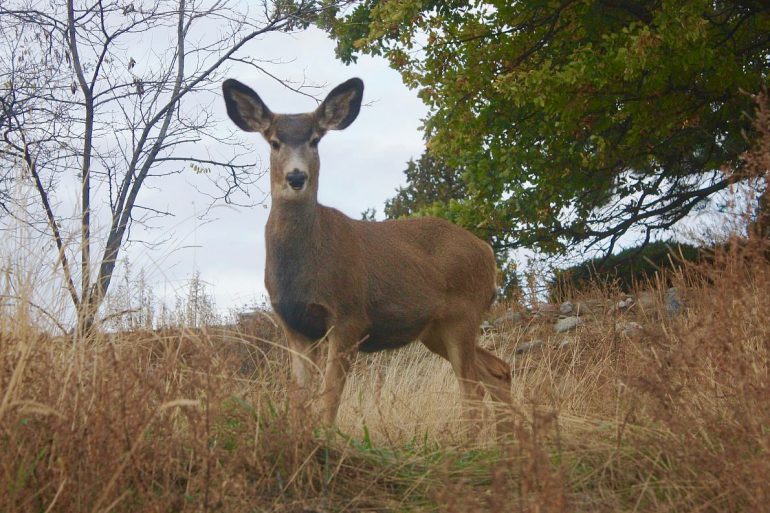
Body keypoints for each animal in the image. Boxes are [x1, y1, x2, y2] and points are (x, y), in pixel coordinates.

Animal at [221, 77, 512, 431]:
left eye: (315, 140)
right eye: (275, 142)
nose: (296, 177)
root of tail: (487, 252)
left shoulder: (349, 315)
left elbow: (329, 399)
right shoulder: (294, 325)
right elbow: (299, 399)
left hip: (463, 314)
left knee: (472, 391)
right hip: (434, 330)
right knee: (498, 371)